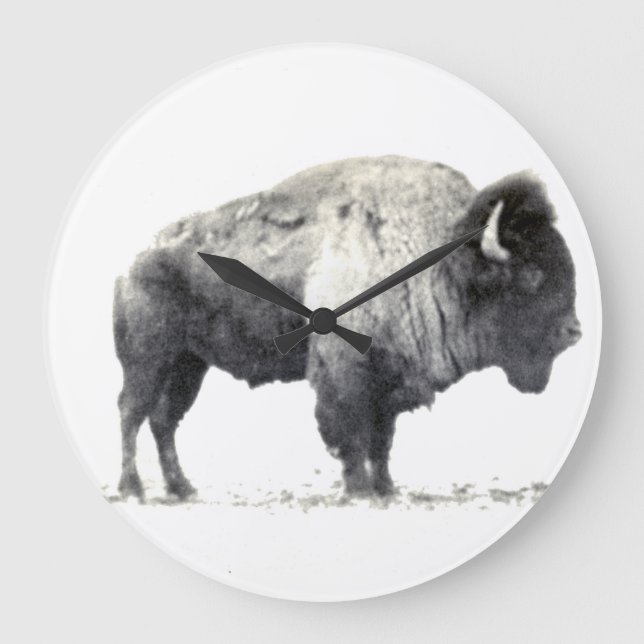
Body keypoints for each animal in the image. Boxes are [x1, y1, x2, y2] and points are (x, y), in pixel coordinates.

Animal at [113, 156, 581, 500]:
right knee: (132, 412)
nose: (574, 332)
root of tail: (134, 262)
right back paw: (133, 488)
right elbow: (352, 434)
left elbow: (381, 440)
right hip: (148, 360)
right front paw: (360, 491)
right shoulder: (346, 377)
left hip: (188, 365)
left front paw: (386, 489)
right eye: (531, 275)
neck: (440, 263)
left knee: (164, 420)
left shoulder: (388, 384)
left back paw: (182, 488)